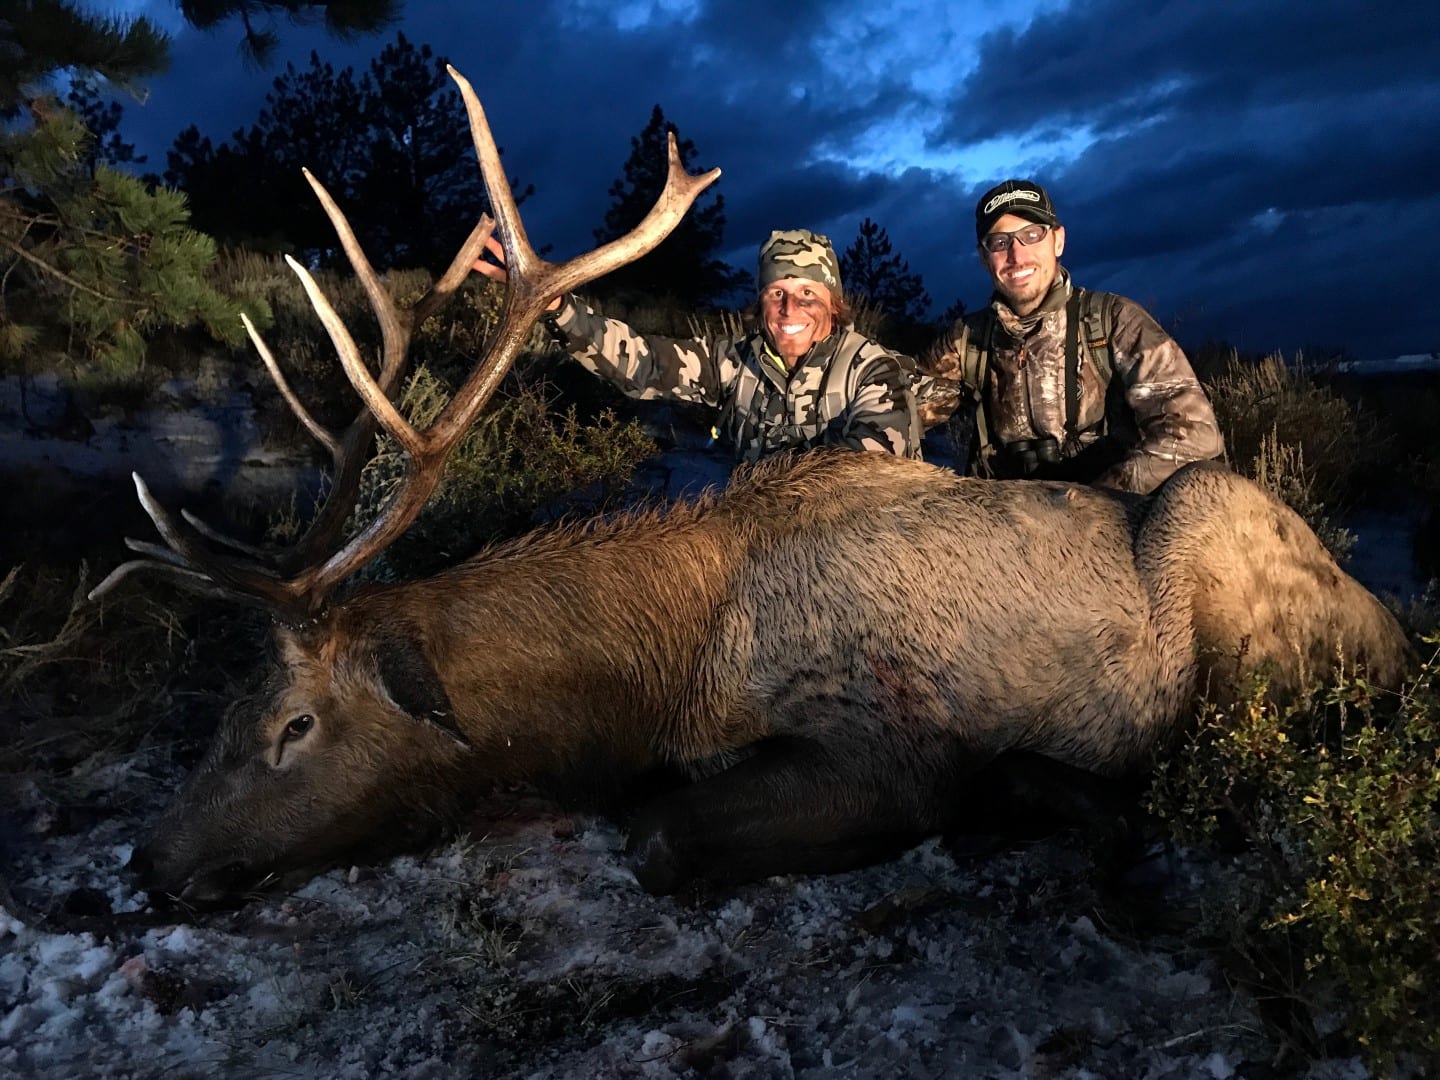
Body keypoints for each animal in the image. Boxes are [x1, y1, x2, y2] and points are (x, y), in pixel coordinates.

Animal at [92, 72, 1416, 910]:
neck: (656, 675)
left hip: (1219, 542)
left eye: (294, 724)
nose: (147, 861)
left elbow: (657, 832)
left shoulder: (886, 743)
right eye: (222, 710)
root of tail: (1396, 621)